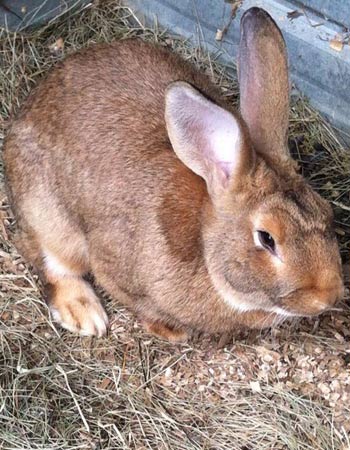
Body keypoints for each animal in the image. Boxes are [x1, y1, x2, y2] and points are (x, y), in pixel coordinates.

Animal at [4, 7, 344, 342]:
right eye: (267, 238)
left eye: (327, 212)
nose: (328, 296)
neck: (205, 247)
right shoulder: (113, 268)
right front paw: (170, 330)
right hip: (48, 215)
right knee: (48, 258)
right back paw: (84, 314)